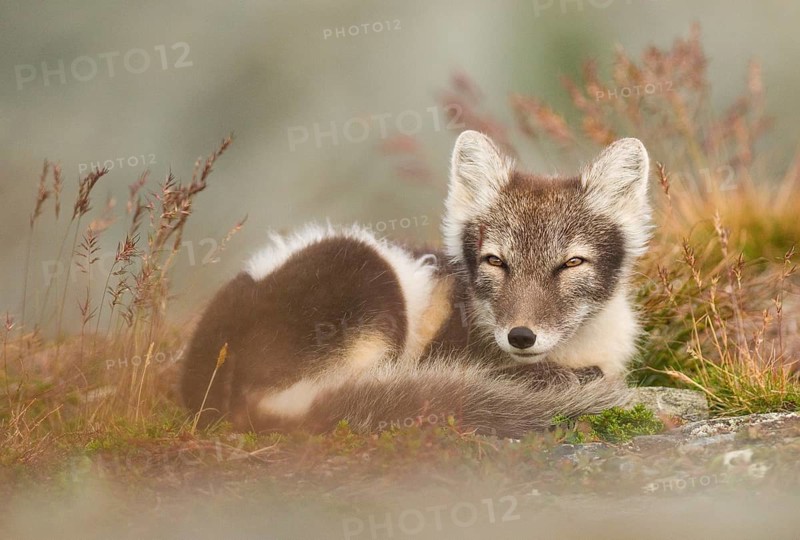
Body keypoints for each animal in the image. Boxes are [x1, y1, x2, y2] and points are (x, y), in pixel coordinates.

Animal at [180, 130, 652, 438]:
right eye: (495, 261)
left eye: (572, 262)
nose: (521, 336)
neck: (578, 349)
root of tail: (221, 395)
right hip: (365, 271)